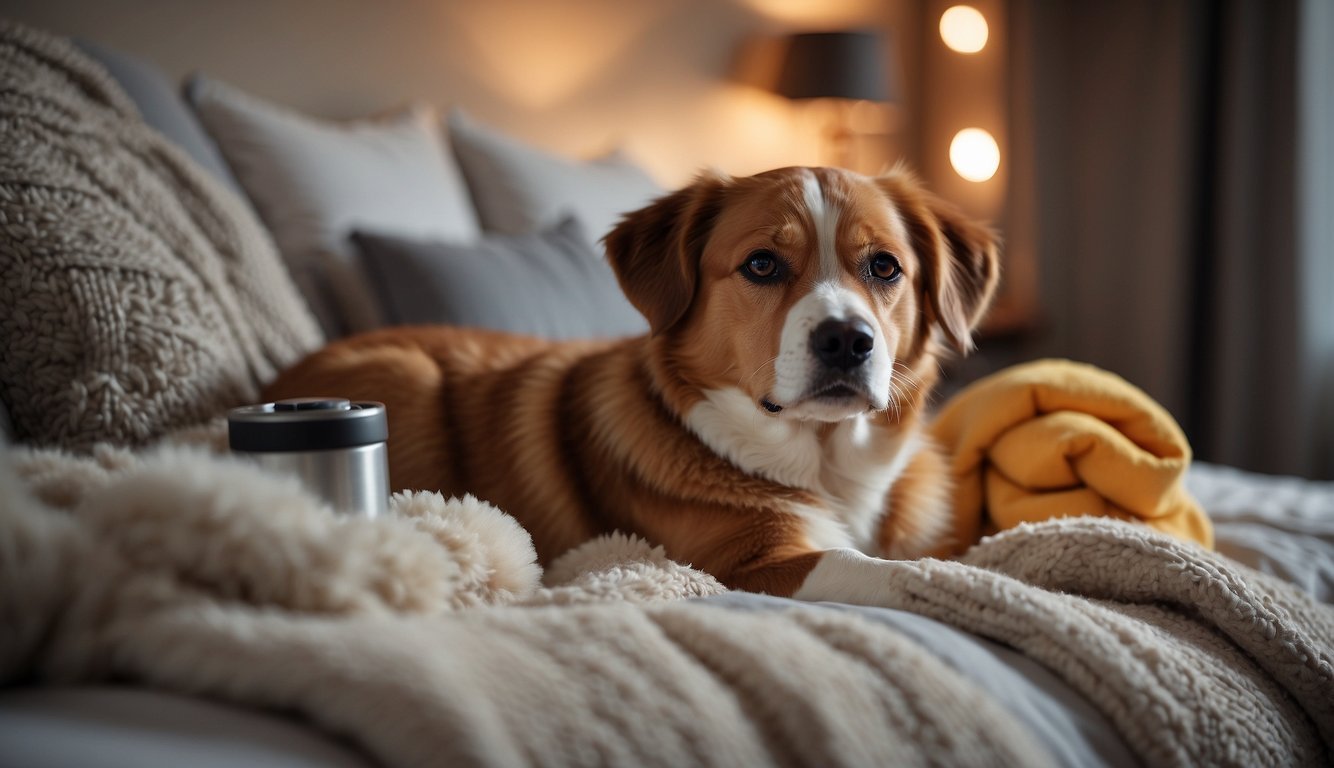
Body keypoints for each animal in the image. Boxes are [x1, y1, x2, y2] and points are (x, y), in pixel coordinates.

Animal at [265, 168, 997, 597]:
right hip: (407, 372)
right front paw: (955, 585)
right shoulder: (741, 566)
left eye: (884, 266)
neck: (829, 465)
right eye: (762, 264)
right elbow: (866, 566)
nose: (848, 341)